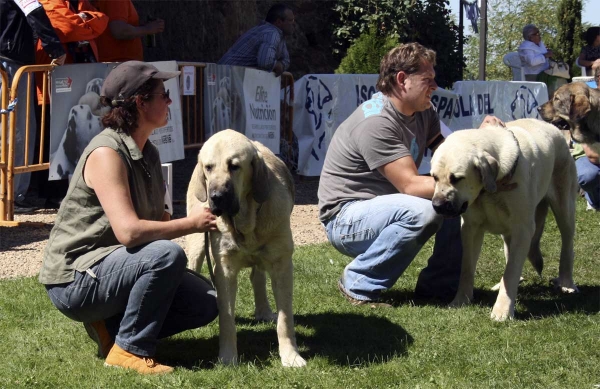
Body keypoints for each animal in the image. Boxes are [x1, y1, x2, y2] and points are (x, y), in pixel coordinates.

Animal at [185, 130, 308, 366]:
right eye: (209, 167)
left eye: (234, 166)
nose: (216, 197)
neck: (246, 221)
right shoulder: (224, 270)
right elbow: (226, 318)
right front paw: (227, 358)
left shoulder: (282, 265)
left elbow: (285, 318)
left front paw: (290, 356)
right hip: (196, 243)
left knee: (257, 277)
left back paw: (264, 311)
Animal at [428, 119, 580, 322]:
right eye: (434, 177)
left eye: (457, 178)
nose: (437, 205)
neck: (490, 189)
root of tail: (554, 128)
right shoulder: (470, 228)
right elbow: (467, 267)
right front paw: (461, 300)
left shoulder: (523, 229)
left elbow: (511, 271)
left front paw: (502, 311)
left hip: (565, 206)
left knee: (567, 244)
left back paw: (567, 283)